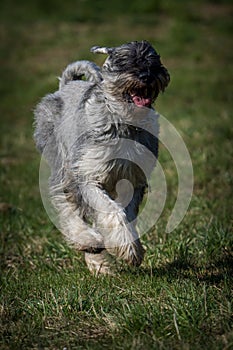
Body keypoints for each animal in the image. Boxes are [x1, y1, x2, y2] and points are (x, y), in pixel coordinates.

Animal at [34, 41, 169, 274]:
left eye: (154, 60)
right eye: (123, 60)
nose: (146, 76)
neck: (124, 122)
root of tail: (65, 87)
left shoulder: (133, 180)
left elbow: (124, 214)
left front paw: (129, 248)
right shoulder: (88, 176)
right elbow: (111, 211)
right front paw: (130, 251)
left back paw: (99, 263)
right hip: (63, 170)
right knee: (67, 207)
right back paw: (89, 244)